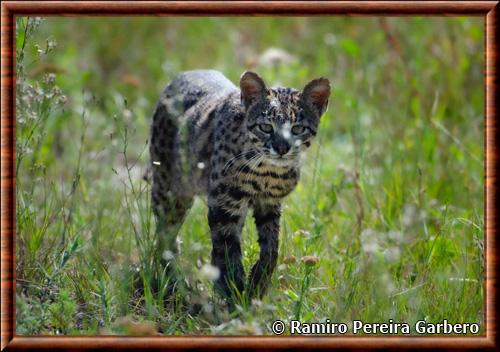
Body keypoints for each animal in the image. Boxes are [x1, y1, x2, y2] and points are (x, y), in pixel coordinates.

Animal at [149, 70, 328, 302]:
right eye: (266, 127)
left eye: (297, 129)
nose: (281, 149)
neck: (267, 170)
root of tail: (182, 75)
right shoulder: (224, 202)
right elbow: (227, 248)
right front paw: (234, 293)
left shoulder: (269, 204)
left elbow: (271, 248)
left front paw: (257, 284)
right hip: (169, 189)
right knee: (165, 236)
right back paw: (173, 283)